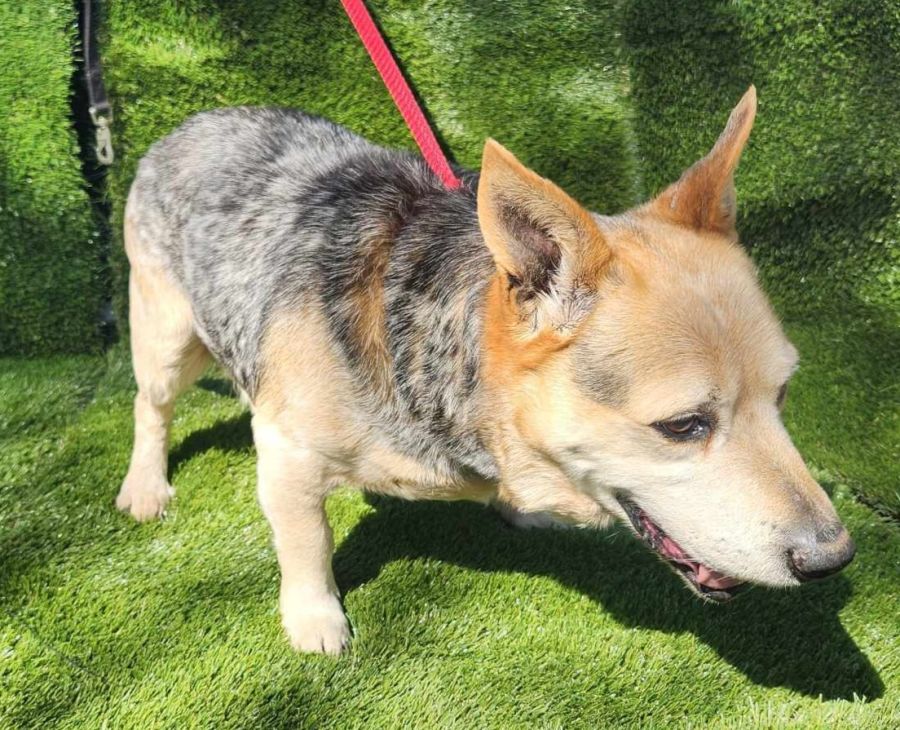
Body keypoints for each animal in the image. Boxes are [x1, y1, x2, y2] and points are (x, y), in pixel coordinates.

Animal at [116, 86, 856, 656]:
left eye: (783, 394)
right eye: (683, 426)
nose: (833, 558)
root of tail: (198, 121)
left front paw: (517, 508)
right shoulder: (287, 450)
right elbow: (306, 540)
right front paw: (313, 617)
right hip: (166, 335)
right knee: (150, 407)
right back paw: (145, 486)